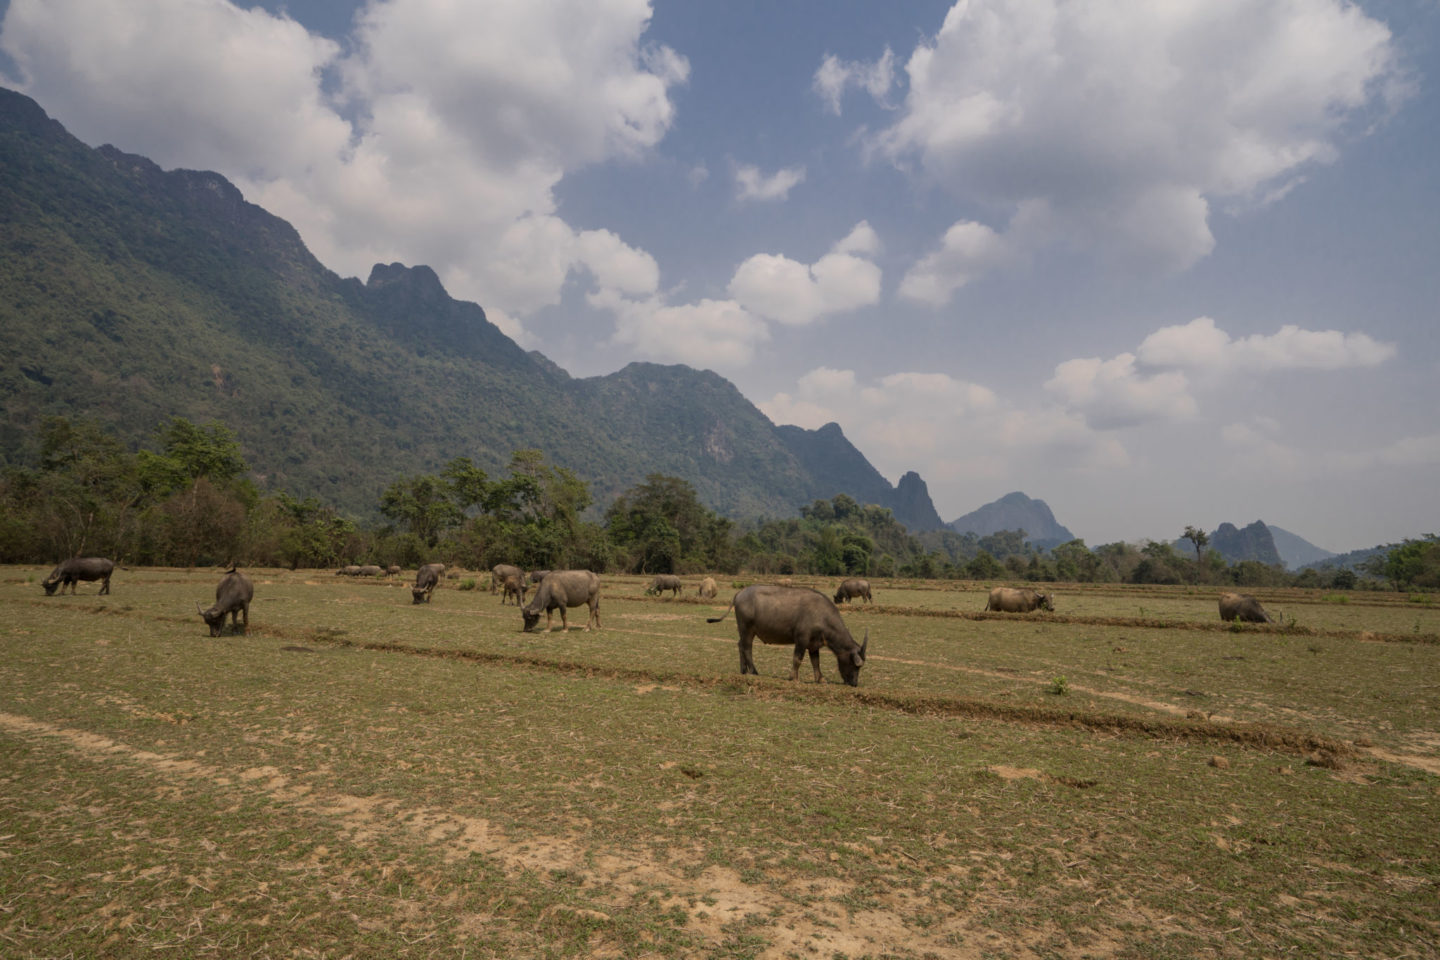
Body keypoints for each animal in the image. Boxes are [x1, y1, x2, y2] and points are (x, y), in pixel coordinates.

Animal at [705, 581, 864, 687]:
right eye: (855, 665)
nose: (854, 683)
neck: (823, 616)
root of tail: (739, 594)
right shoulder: (801, 640)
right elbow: (797, 659)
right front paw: (794, 677)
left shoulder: (813, 645)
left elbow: (816, 662)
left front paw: (820, 679)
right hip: (747, 629)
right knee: (747, 648)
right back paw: (754, 671)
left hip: (744, 631)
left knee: (740, 645)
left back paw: (743, 670)